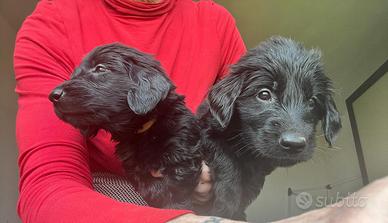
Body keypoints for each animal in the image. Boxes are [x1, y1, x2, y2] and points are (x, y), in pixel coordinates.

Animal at [199, 36, 342, 220]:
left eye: (312, 101)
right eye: (264, 94)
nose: (294, 143)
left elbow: (252, 185)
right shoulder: (203, 131)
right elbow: (227, 162)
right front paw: (227, 206)